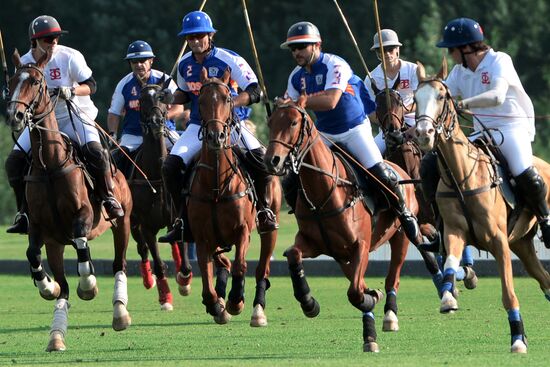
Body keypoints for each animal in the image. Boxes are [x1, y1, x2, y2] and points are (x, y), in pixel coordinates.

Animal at [6, 50, 133, 352]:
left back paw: (120, 313)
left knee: (119, 264)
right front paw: (47, 287)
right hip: (56, 244)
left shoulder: (83, 216)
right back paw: (56, 336)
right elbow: (32, 254)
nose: (14, 116)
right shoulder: (40, 227)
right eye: (12, 81)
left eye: (36, 82)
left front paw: (88, 286)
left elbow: (83, 247)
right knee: (63, 287)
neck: (50, 166)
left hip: (122, 223)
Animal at [125, 80, 194, 310]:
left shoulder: (177, 217)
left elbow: (185, 260)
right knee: (142, 249)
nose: (156, 121)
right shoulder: (146, 226)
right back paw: (148, 280)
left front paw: (184, 281)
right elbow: (157, 262)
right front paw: (165, 298)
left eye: (163, 97)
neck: (156, 175)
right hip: (133, 222)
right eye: (142, 99)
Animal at [190, 69, 284, 328]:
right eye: (200, 101)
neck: (216, 185)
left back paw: (257, 310)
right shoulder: (201, 236)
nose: (216, 136)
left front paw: (235, 300)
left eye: (227, 99)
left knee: (263, 268)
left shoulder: (242, 230)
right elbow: (205, 272)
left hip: (269, 226)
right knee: (223, 263)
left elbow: (241, 265)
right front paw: (216, 304)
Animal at [266, 95, 424, 354]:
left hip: (400, 235)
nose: (273, 160)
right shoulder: (314, 244)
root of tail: (399, 169)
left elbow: (355, 292)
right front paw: (309, 302)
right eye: (270, 122)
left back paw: (389, 315)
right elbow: (293, 253)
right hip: (342, 255)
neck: (324, 194)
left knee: (392, 278)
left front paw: (371, 303)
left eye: (293, 123)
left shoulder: (361, 245)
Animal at [416, 60, 550, 354]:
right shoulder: (454, 232)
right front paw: (448, 297)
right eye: (414, 99)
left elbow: (508, 293)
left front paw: (517, 339)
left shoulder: (498, 240)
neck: (462, 176)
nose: (422, 134)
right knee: (546, 279)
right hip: (522, 243)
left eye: (442, 97)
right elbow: (451, 263)